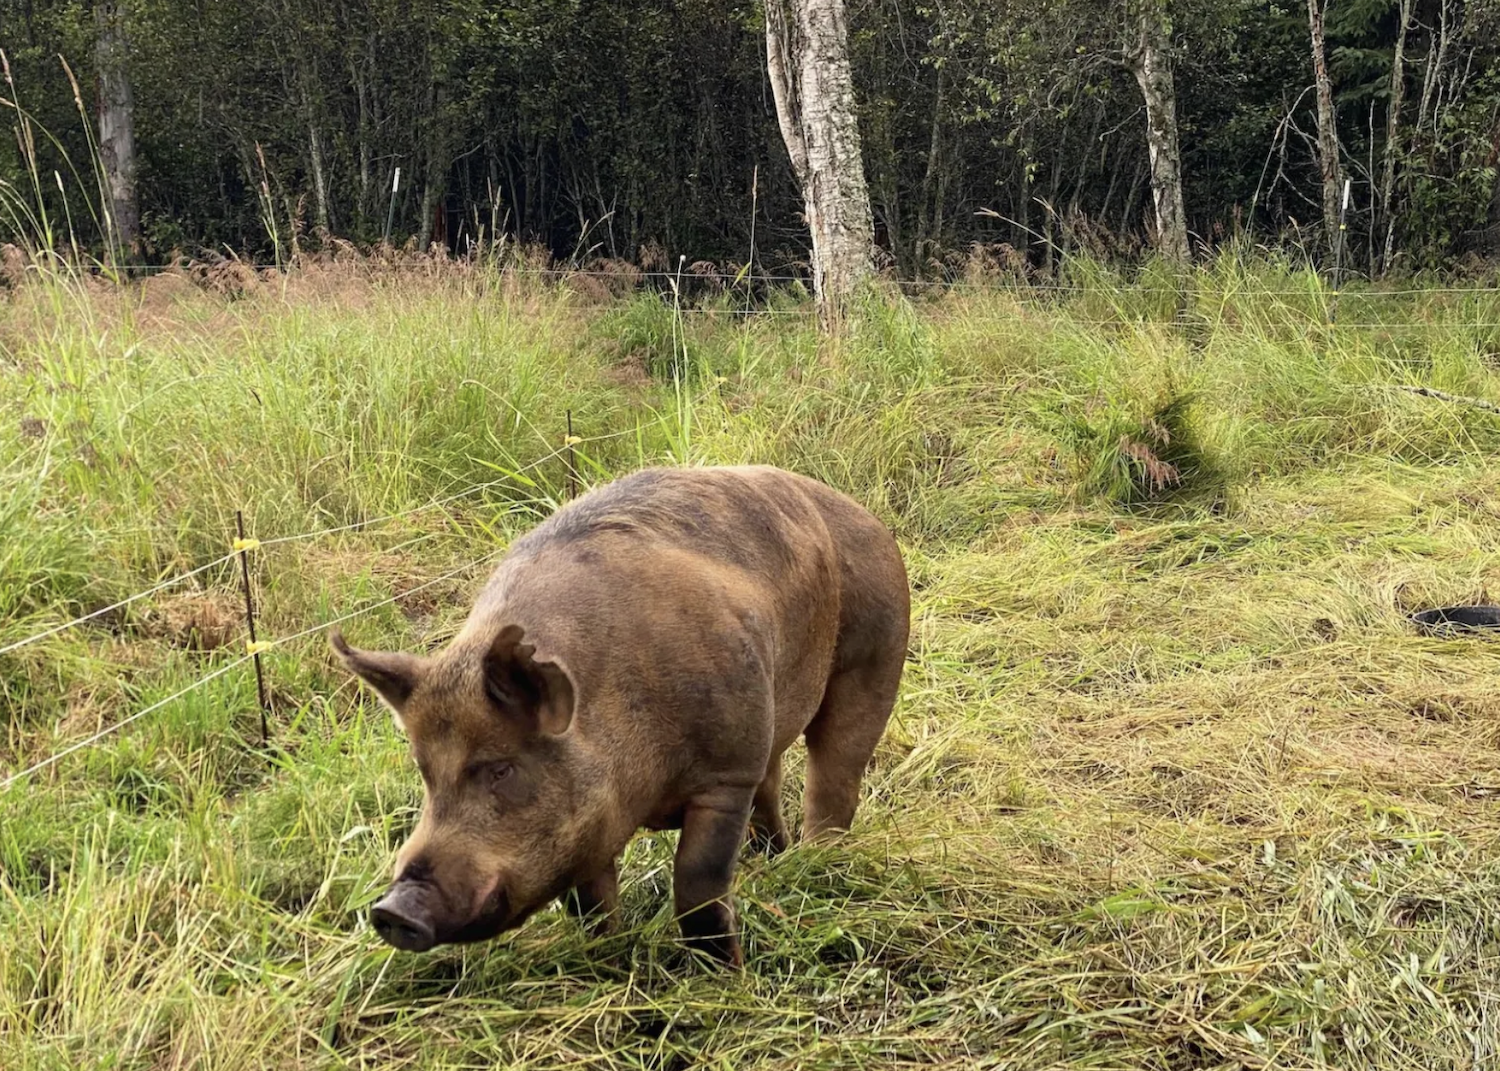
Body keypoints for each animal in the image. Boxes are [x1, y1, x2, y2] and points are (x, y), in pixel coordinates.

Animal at [333, 462, 906, 966]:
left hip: (875, 654)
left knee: (834, 777)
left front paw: (725, 974)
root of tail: (869, 518)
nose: (392, 910)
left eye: (501, 768)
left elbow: (697, 881)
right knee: (774, 781)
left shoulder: (725, 774)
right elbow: (590, 905)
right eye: (424, 772)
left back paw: (818, 861)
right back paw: (777, 859)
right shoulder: (586, 826)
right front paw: (609, 957)